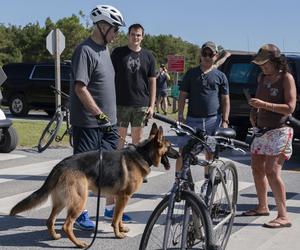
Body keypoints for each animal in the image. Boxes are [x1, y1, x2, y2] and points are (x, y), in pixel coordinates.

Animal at [9, 123, 178, 248]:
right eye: (170, 146)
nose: (179, 154)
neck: (143, 154)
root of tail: (61, 164)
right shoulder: (124, 197)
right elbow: (116, 218)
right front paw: (118, 234)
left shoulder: (121, 198)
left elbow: (119, 216)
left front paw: (121, 228)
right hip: (79, 200)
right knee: (67, 225)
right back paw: (79, 243)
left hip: (61, 201)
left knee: (50, 221)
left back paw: (55, 236)